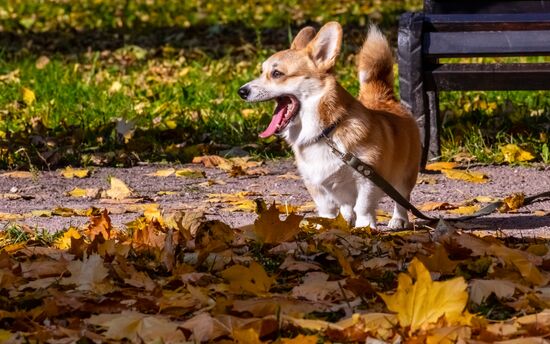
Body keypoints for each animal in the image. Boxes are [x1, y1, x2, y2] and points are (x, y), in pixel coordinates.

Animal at [238, 21, 422, 228]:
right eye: (262, 72)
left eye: (277, 73)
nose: (241, 91)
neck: (326, 132)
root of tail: (382, 97)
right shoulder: (315, 184)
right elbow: (327, 210)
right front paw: (324, 226)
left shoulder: (368, 179)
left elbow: (364, 207)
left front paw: (365, 228)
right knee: (346, 205)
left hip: (405, 176)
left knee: (402, 199)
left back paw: (398, 220)